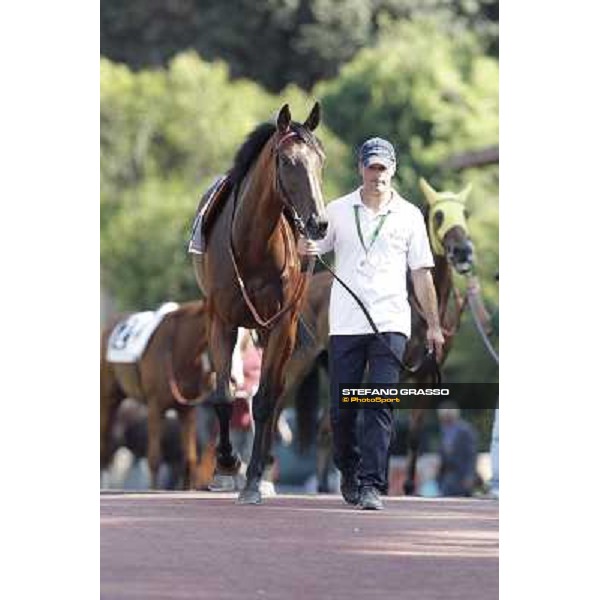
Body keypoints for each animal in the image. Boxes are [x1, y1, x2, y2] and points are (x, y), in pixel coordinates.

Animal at [193, 104, 328, 506]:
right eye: (286, 161)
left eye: (321, 160)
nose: (318, 223)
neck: (252, 246)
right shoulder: (221, 320)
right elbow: (224, 396)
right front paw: (226, 465)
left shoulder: (282, 323)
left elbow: (266, 400)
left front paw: (253, 478)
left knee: (277, 395)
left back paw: (265, 469)